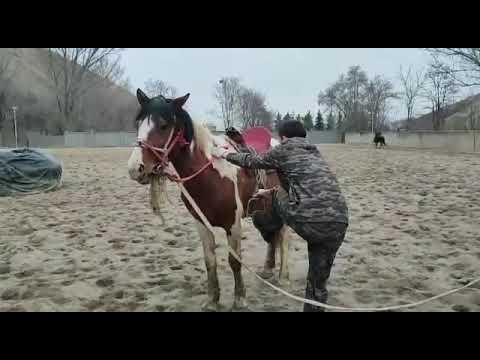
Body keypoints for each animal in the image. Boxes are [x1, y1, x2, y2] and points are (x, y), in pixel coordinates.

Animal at [125, 88, 288, 310]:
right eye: (138, 123)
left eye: (164, 125)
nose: (136, 168)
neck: (210, 172)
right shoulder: (201, 223)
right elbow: (209, 261)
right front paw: (212, 299)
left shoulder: (233, 224)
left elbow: (234, 261)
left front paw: (240, 299)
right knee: (272, 237)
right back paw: (268, 269)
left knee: (283, 238)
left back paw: (283, 275)